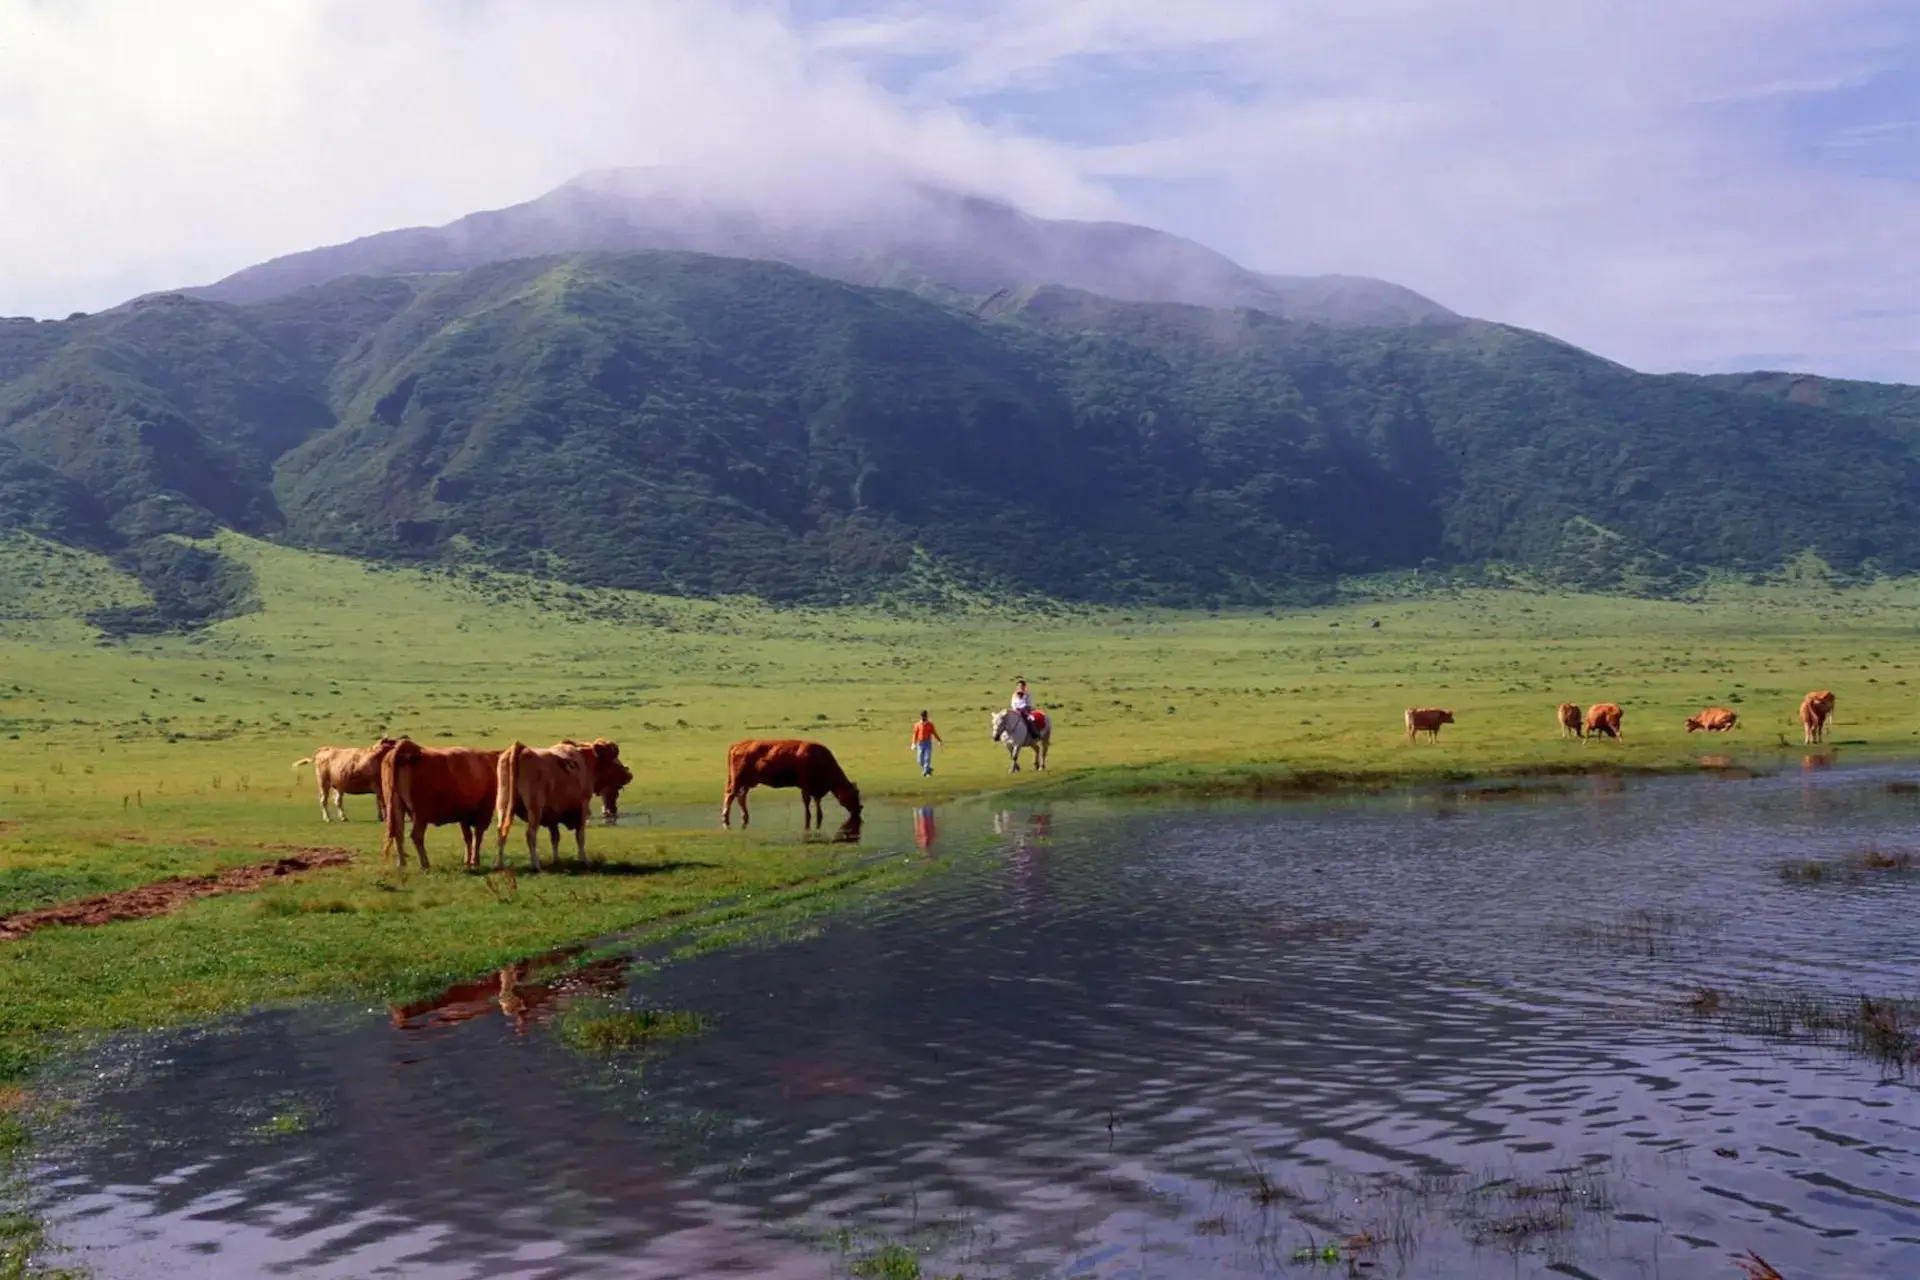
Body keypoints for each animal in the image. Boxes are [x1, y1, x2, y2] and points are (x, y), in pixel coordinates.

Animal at [379, 739, 500, 870]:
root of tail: (409, 748)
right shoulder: (484, 812)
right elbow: (477, 837)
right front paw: (475, 861)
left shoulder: (463, 816)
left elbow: (468, 838)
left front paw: (467, 861)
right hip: (421, 814)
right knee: (416, 836)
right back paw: (425, 864)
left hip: (397, 808)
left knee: (398, 834)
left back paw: (401, 864)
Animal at [494, 738, 625, 871]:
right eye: (614, 759)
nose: (628, 774)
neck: (587, 759)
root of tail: (521, 749)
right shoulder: (583, 806)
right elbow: (580, 836)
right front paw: (584, 861)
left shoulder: (552, 814)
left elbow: (555, 837)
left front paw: (556, 860)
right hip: (535, 808)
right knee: (530, 835)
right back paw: (536, 865)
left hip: (503, 805)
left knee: (501, 832)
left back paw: (499, 865)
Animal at [721, 739, 862, 830]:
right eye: (854, 795)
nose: (859, 809)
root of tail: (739, 744)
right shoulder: (805, 785)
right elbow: (807, 802)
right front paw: (808, 816)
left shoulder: (816, 789)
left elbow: (817, 802)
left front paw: (819, 816)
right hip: (737, 780)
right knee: (730, 795)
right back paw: (725, 817)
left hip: (747, 783)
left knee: (741, 797)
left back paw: (745, 816)